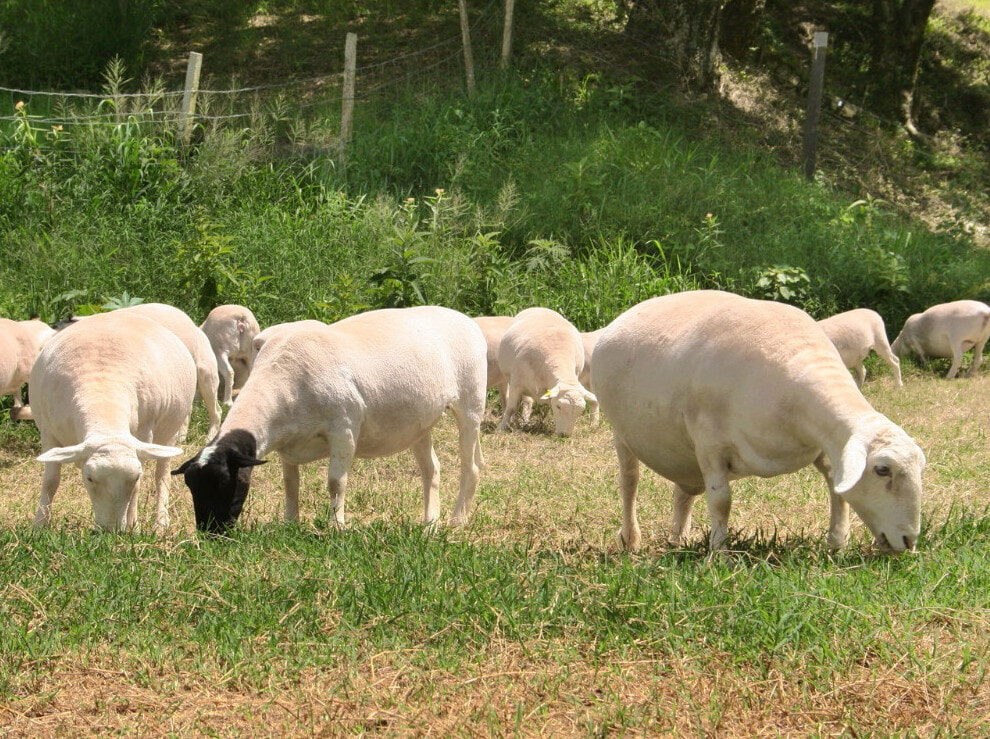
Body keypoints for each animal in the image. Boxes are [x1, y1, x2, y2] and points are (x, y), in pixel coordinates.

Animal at [31, 311, 196, 532]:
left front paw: (133, 526)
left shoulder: (143, 433)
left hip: (169, 432)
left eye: (134, 477)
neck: (102, 396)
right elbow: (50, 480)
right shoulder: (48, 432)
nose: (111, 531)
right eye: (89, 478)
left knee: (162, 475)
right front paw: (39, 525)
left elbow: (139, 487)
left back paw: (160, 523)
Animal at [173, 306, 487, 533]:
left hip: (471, 404)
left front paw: (337, 527)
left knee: (470, 467)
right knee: (431, 469)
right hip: (420, 423)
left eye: (224, 483)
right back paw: (430, 523)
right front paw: (290, 523)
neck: (283, 379)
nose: (209, 533)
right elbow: (290, 483)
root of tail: (463, 318)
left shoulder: (344, 428)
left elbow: (336, 482)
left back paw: (457, 520)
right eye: (192, 487)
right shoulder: (287, 443)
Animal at [497, 307, 598, 436]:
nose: (564, 436)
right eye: (559, 406)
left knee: (528, 402)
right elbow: (511, 408)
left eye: (580, 411)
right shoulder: (516, 383)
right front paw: (501, 428)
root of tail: (540, 308)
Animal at [592, 290, 926, 555]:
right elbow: (721, 502)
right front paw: (719, 557)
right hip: (623, 434)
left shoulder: (823, 445)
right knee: (629, 483)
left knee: (683, 492)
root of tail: (628, 313)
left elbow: (836, 486)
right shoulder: (710, 443)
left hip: (684, 454)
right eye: (882, 470)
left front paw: (837, 543)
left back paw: (678, 539)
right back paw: (631, 539)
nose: (909, 542)